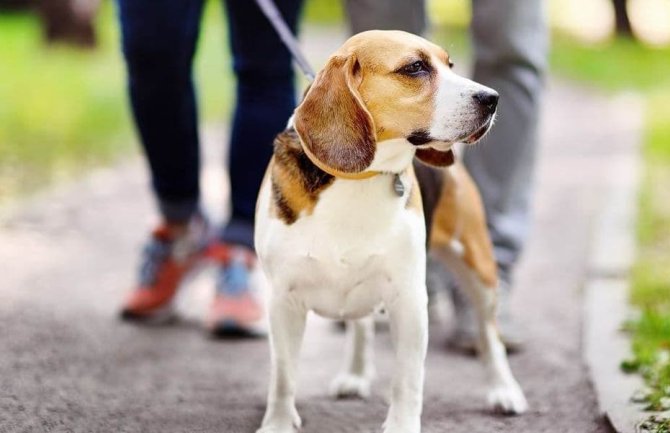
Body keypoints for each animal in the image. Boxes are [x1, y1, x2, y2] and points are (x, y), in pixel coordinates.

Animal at [255, 30, 528, 432]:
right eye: (414, 67)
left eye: (450, 64)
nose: (492, 99)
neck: (358, 177)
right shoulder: (282, 301)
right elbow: (283, 376)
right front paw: (277, 423)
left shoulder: (410, 301)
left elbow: (407, 379)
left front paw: (401, 424)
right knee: (361, 326)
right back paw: (354, 375)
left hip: (480, 272)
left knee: (489, 336)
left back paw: (505, 391)